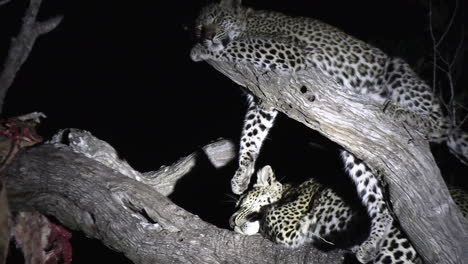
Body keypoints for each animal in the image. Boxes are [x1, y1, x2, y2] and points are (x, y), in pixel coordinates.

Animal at [189, 0, 468, 262]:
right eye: (199, 26)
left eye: (216, 19)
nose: (231, 221)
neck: (247, 21)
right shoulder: (264, 98)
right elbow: (251, 133)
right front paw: (242, 174)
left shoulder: (288, 51)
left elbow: (241, 46)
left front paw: (202, 50)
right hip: (356, 148)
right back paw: (371, 242)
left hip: (400, 75)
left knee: (440, 126)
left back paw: (404, 114)